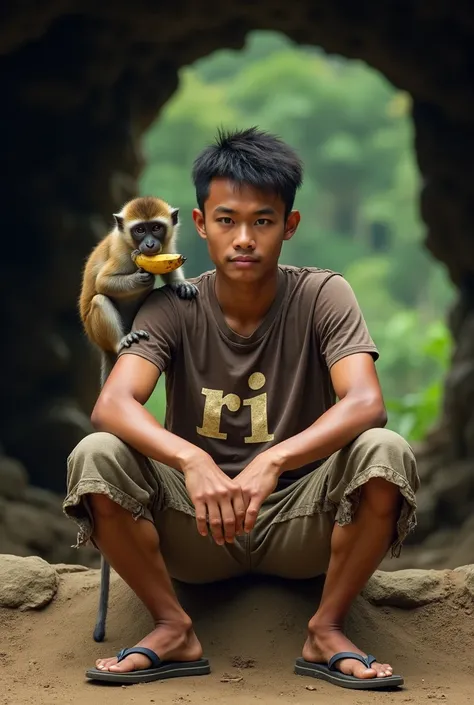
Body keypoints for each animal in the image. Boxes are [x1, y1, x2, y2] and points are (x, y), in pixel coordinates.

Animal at [78, 195, 197, 640]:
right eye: (138, 230)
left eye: (157, 228)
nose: (148, 246)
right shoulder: (116, 251)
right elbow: (105, 283)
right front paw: (140, 273)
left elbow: (172, 276)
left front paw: (178, 282)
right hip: (99, 328)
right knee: (99, 300)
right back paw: (123, 339)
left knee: (153, 301)